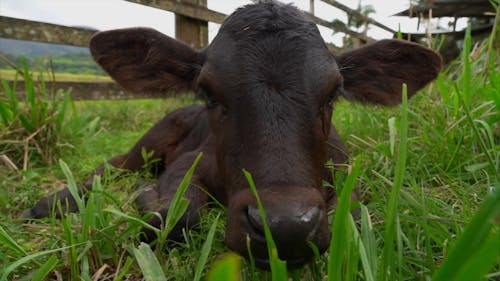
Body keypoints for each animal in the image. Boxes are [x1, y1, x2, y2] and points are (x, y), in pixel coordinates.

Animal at [22, 0, 442, 266]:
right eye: (209, 93)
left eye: (333, 94)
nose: (283, 226)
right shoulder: (190, 162)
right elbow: (174, 215)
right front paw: (146, 198)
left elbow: (353, 216)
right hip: (150, 141)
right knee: (113, 165)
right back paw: (54, 201)